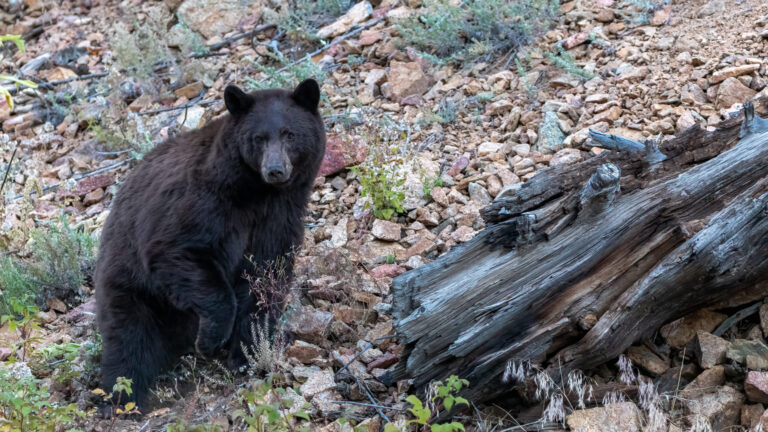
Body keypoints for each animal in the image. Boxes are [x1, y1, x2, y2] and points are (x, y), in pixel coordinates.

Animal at [94, 79, 325, 411]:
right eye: (258, 138)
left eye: (290, 134)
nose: (275, 170)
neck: (256, 193)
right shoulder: (205, 202)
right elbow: (176, 252)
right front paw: (210, 340)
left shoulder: (280, 215)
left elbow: (266, 276)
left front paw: (247, 352)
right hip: (129, 284)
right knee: (128, 341)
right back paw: (123, 398)